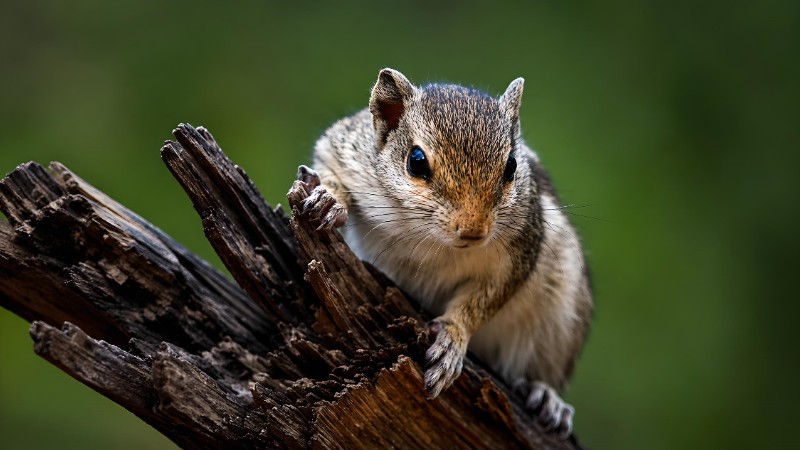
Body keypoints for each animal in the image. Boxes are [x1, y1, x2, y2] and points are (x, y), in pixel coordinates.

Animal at [297, 68, 593, 437]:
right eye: (416, 161)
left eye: (512, 166)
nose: (473, 231)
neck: (433, 239)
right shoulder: (344, 148)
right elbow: (328, 165)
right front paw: (330, 198)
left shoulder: (521, 250)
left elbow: (482, 303)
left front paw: (452, 338)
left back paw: (548, 398)